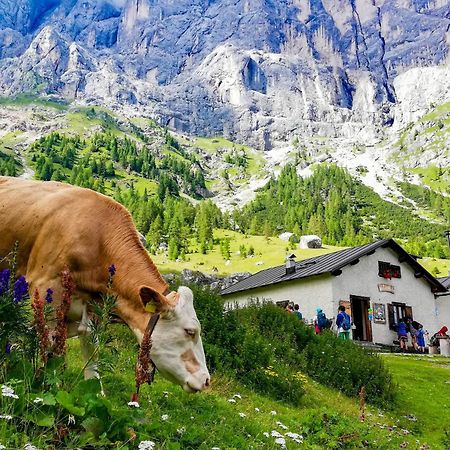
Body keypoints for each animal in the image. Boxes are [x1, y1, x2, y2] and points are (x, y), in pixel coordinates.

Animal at [0, 178, 211, 392]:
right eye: (190, 331)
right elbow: (49, 345)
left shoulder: (94, 309)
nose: (206, 380)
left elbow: (91, 352)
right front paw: (44, 385)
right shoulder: (44, 288)